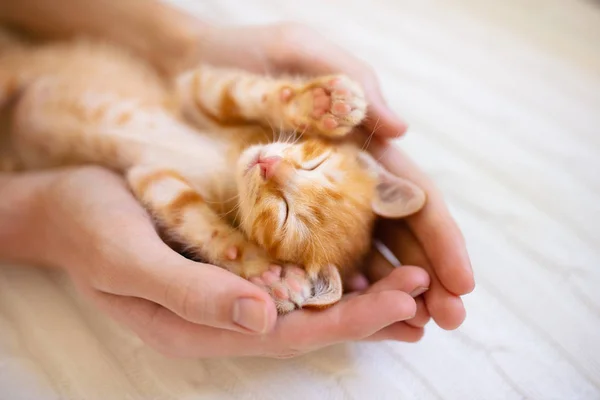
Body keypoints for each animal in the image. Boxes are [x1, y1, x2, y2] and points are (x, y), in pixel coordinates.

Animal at [0, 29, 424, 314]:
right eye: (314, 162)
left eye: (285, 214)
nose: (268, 165)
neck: (228, 167)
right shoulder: (193, 92)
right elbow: (237, 92)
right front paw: (318, 103)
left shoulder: (155, 176)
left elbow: (192, 218)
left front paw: (269, 273)